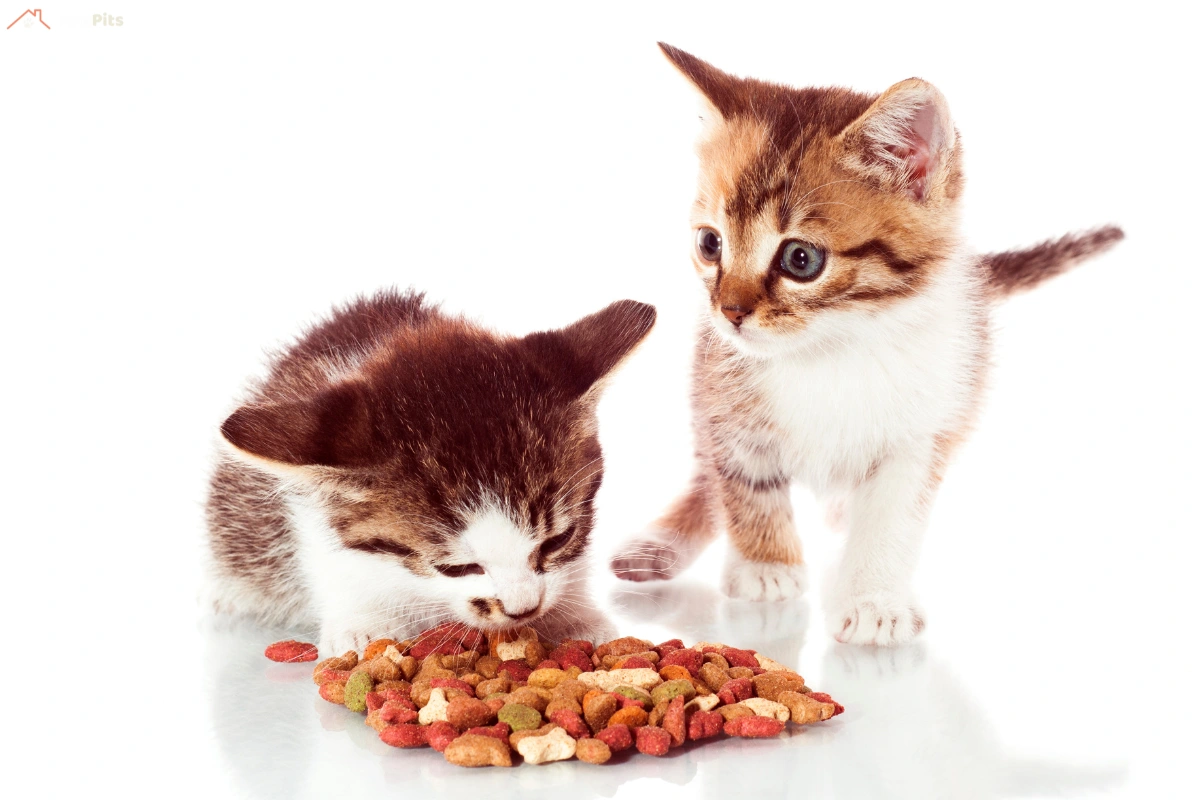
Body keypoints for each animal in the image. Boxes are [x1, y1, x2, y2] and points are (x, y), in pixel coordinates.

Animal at [609, 43, 1123, 647]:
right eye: (710, 244)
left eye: (801, 259)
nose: (730, 313)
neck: (834, 345)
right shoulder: (724, 400)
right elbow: (741, 480)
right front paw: (766, 565)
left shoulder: (925, 427)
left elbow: (891, 515)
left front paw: (874, 598)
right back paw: (659, 544)